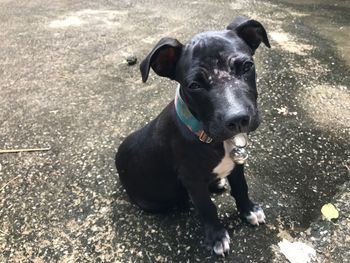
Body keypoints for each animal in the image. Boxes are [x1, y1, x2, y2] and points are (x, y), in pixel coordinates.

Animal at [116, 16, 270, 256]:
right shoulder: (192, 180)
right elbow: (207, 208)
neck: (213, 139)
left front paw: (248, 210)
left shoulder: (236, 163)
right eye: (194, 85)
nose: (237, 120)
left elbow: (241, 187)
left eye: (247, 67)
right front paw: (217, 237)